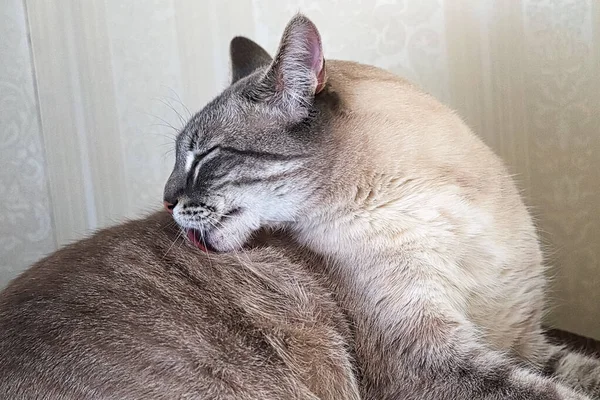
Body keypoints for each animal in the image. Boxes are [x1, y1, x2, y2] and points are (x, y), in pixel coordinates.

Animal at [163, 14, 600, 398]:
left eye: (204, 157)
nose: (167, 201)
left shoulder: (525, 344)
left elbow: (583, 374)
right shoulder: (429, 359)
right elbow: (554, 393)